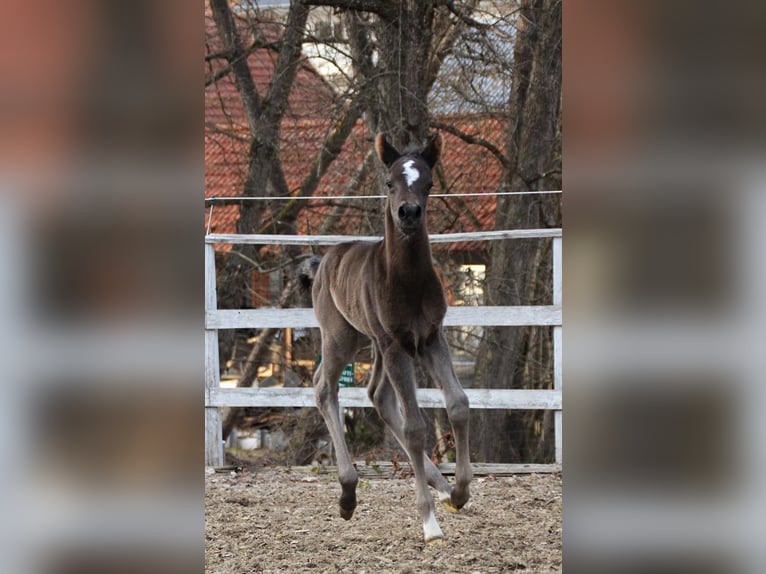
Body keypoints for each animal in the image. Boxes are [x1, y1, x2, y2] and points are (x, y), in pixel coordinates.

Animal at [309, 132, 472, 543]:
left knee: (378, 396)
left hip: (376, 344)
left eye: (428, 183)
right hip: (342, 337)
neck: (408, 281)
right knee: (324, 388)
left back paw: (441, 486)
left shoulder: (430, 338)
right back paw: (347, 494)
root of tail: (323, 261)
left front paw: (459, 492)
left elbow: (458, 404)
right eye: (389, 182)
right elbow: (415, 428)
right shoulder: (398, 345)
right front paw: (429, 523)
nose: (408, 214)